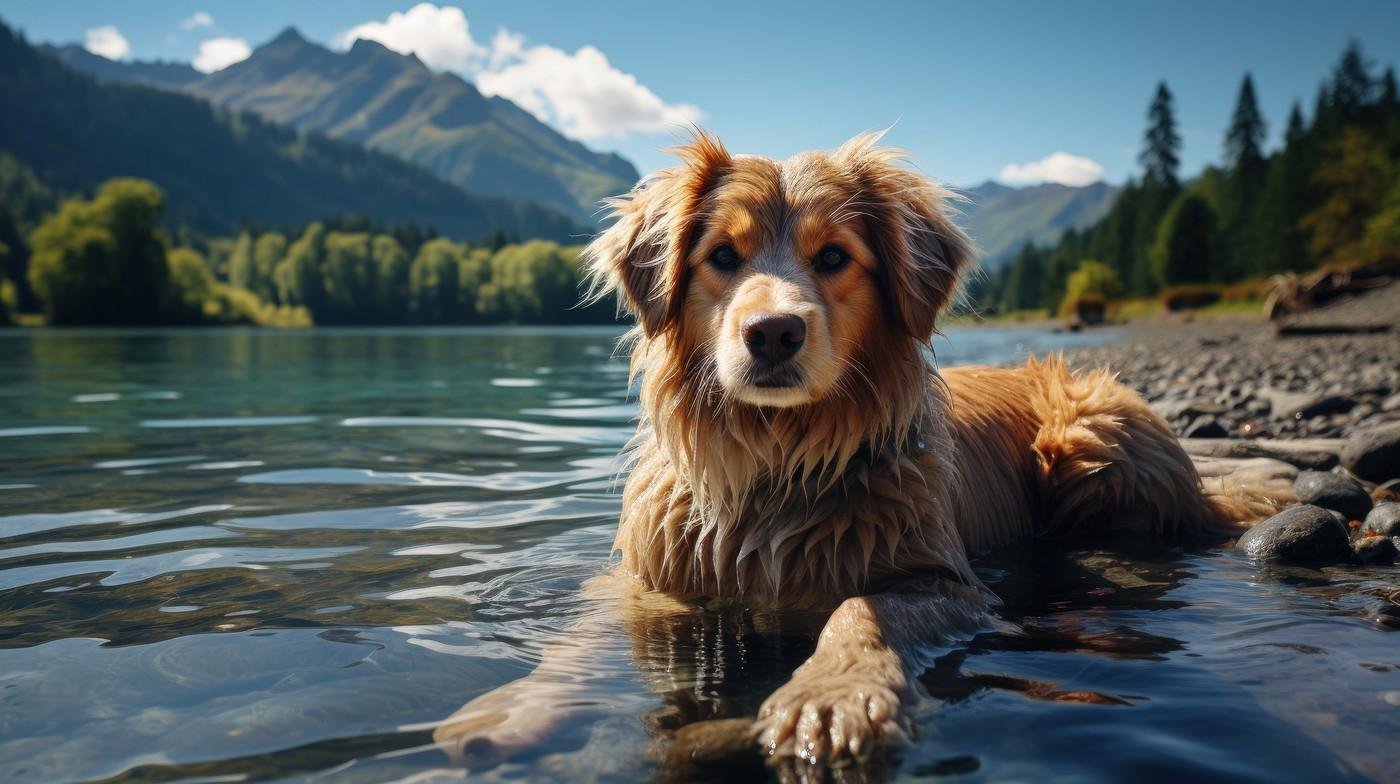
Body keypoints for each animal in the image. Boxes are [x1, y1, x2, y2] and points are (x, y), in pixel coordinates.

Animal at [434, 134, 1282, 778]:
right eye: (722, 255)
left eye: (835, 257)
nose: (774, 332)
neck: (776, 461)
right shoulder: (650, 577)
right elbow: (575, 638)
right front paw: (511, 710)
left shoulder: (945, 581)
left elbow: (858, 608)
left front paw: (831, 697)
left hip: (1090, 429)